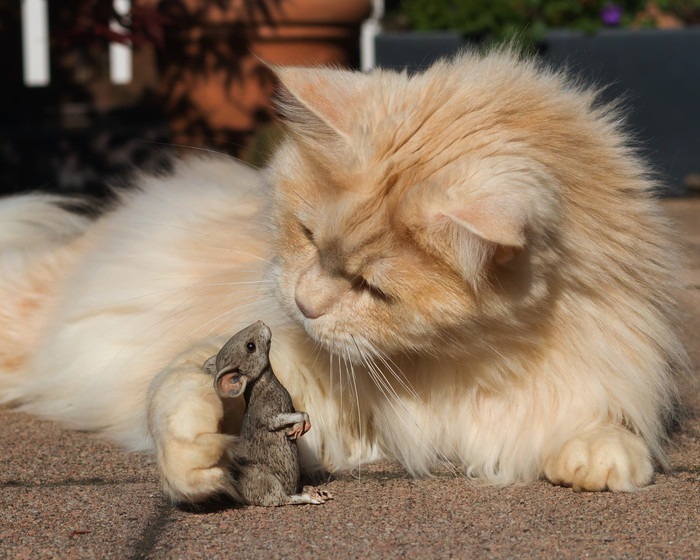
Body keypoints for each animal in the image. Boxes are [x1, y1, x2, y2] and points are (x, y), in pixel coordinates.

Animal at [0, 49, 688, 504]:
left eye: (373, 289)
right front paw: (198, 454)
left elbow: (598, 419)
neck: (452, 368)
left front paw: (601, 454)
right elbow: (178, 391)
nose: (304, 306)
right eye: (306, 236)